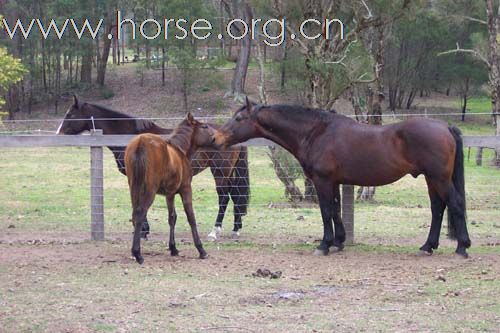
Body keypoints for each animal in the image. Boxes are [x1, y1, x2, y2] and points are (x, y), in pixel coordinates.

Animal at [57, 96, 250, 239]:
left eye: (70, 114)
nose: (59, 133)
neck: (130, 136)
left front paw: (143, 231)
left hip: (220, 172)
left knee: (224, 197)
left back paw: (214, 231)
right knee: (235, 194)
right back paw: (236, 228)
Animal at [125, 113, 217, 264]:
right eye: (204, 126)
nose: (216, 138)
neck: (179, 150)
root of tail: (140, 142)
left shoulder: (170, 194)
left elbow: (172, 217)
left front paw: (173, 248)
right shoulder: (186, 189)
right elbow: (191, 217)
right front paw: (201, 250)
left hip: (134, 187)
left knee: (134, 215)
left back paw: (134, 253)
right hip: (149, 190)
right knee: (140, 213)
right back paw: (138, 254)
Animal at [216, 98, 472, 256]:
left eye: (238, 119)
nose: (217, 138)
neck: (316, 132)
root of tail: (445, 127)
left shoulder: (322, 181)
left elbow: (326, 211)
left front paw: (324, 244)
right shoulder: (334, 181)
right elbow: (336, 211)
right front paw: (339, 242)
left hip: (439, 178)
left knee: (455, 204)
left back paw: (462, 247)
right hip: (432, 179)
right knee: (438, 208)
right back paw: (428, 246)